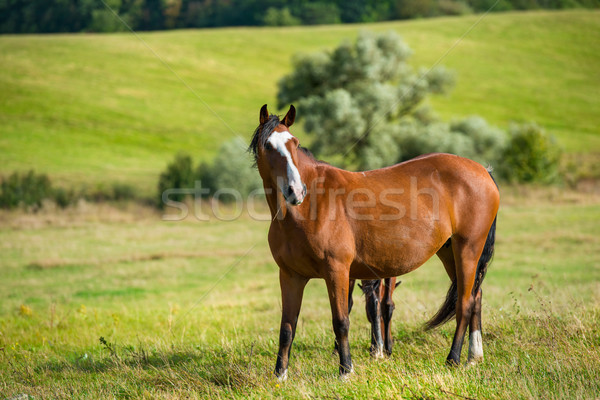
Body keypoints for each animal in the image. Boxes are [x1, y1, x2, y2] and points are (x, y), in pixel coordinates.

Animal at [251, 104, 500, 380]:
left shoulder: (337, 271)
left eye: (294, 143)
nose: (296, 191)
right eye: (269, 146)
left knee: (464, 303)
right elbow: (287, 327)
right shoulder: (290, 276)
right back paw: (473, 357)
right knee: (475, 295)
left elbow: (341, 321)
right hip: (449, 253)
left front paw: (345, 371)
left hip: (468, 248)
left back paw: (453, 359)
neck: (309, 207)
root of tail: (482, 170)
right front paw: (280, 376)